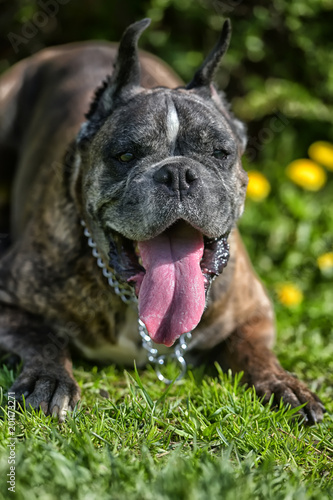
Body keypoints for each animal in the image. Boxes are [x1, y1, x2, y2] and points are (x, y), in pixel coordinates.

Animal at [0, 20, 322, 426]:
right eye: (125, 155)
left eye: (220, 153)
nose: (178, 173)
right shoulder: (11, 299)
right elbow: (42, 337)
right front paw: (48, 378)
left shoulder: (253, 309)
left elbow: (253, 348)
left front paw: (283, 383)